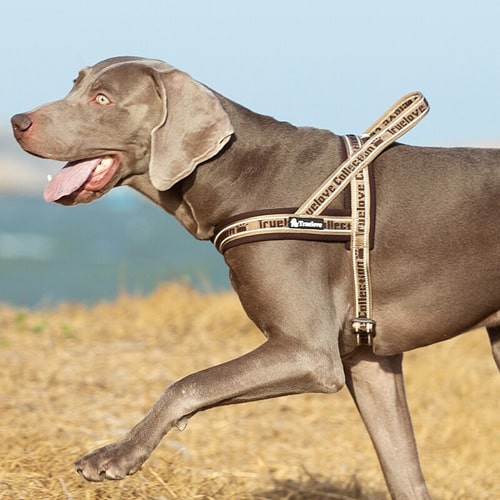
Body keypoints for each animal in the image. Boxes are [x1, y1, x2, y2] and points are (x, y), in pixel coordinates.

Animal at [10, 56, 500, 500]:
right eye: (76, 84)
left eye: (103, 99)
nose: (16, 121)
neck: (238, 176)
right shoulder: (370, 363)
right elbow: (403, 471)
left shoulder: (309, 353)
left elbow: (187, 383)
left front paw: (120, 453)